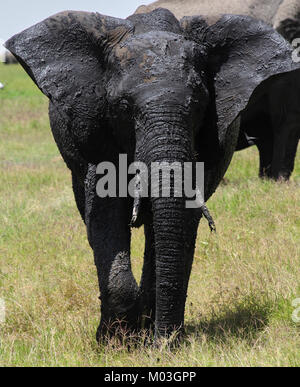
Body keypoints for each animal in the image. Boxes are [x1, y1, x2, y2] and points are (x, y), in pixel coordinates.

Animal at [5, 8, 300, 342]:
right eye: (123, 107)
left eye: (199, 105)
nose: (166, 342)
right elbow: (105, 211)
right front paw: (116, 342)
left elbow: (182, 221)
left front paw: (152, 337)